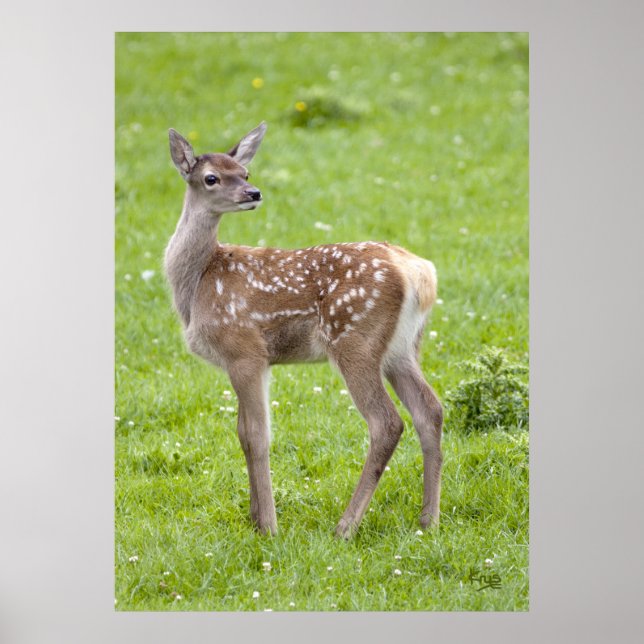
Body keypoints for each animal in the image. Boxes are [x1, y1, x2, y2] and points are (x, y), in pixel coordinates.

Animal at [164, 122, 443, 538]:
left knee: (387, 422)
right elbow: (243, 434)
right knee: (430, 411)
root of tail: (419, 272)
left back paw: (345, 526)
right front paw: (254, 519)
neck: (198, 283)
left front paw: (268, 527)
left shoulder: (244, 349)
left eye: (245, 172)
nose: (253, 193)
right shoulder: (253, 361)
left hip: (354, 338)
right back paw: (428, 521)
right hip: (402, 348)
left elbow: (257, 435)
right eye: (212, 177)